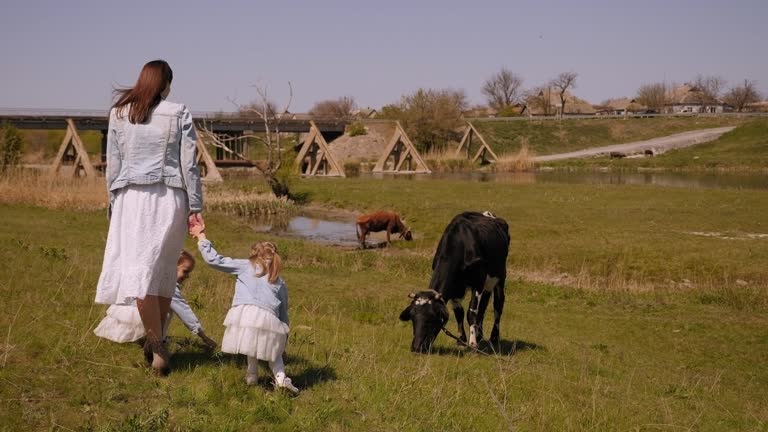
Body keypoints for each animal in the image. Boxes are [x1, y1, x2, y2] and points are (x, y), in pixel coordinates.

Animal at [396, 211, 510, 352]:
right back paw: (479, 335)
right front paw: (462, 339)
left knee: (498, 305)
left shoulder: (478, 282)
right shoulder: (456, 287)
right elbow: (459, 313)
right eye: (412, 317)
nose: (417, 347)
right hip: (487, 284)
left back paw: (494, 337)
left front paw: (472, 344)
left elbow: (471, 312)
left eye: (432, 318)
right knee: (483, 306)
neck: (460, 243)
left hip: (500, 277)